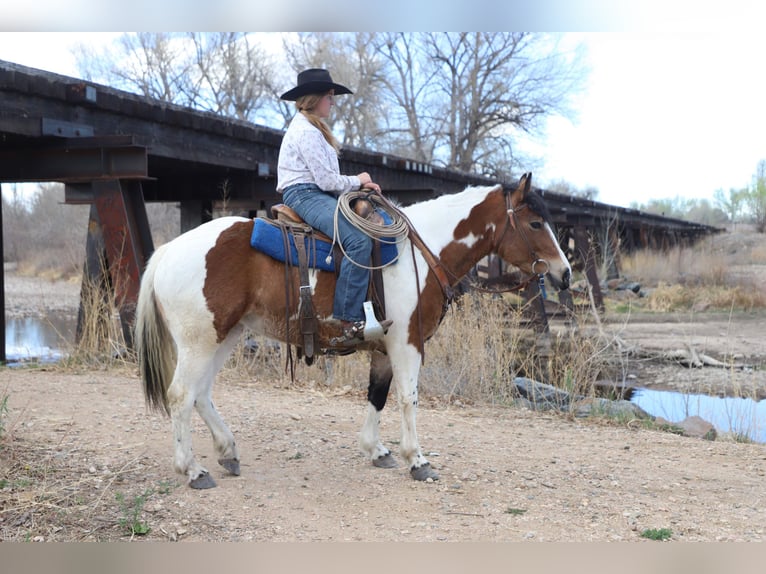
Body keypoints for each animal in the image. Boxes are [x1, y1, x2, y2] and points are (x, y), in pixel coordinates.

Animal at [135, 173, 571, 489]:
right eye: (535, 222)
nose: (564, 273)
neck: (422, 252)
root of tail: (167, 251)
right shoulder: (408, 341)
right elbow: (408, 398)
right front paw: (418, 459)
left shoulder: (385, 346)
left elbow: (377, 395)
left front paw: (377, 450)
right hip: (199, 341)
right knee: (181, 396)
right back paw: (192, 470)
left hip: (225, 336)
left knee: (201, 394)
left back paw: (227, 452)